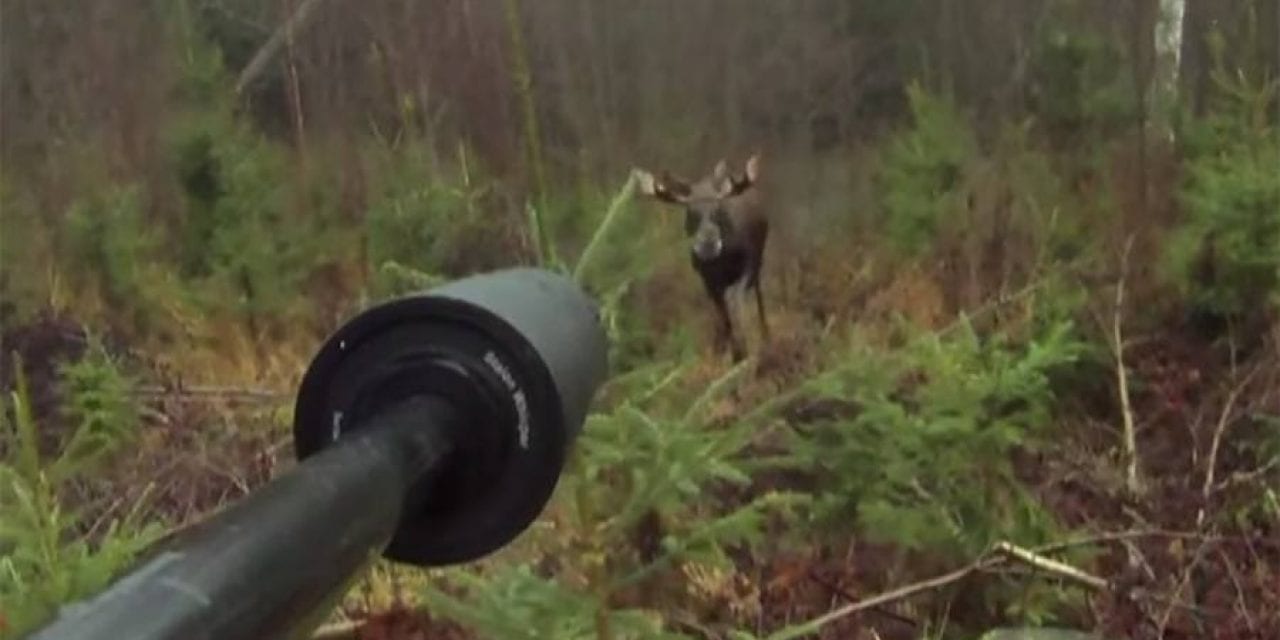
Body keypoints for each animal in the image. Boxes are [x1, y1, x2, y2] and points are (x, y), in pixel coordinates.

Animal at [632, 154, 762, 360]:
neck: (724, 259)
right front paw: (730, 353)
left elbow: (735, 305)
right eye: (690, 211)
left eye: (718, 209)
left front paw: (742, 350)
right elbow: (722, 317)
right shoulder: (707, 279)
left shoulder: (748, 266)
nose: (708, 243)